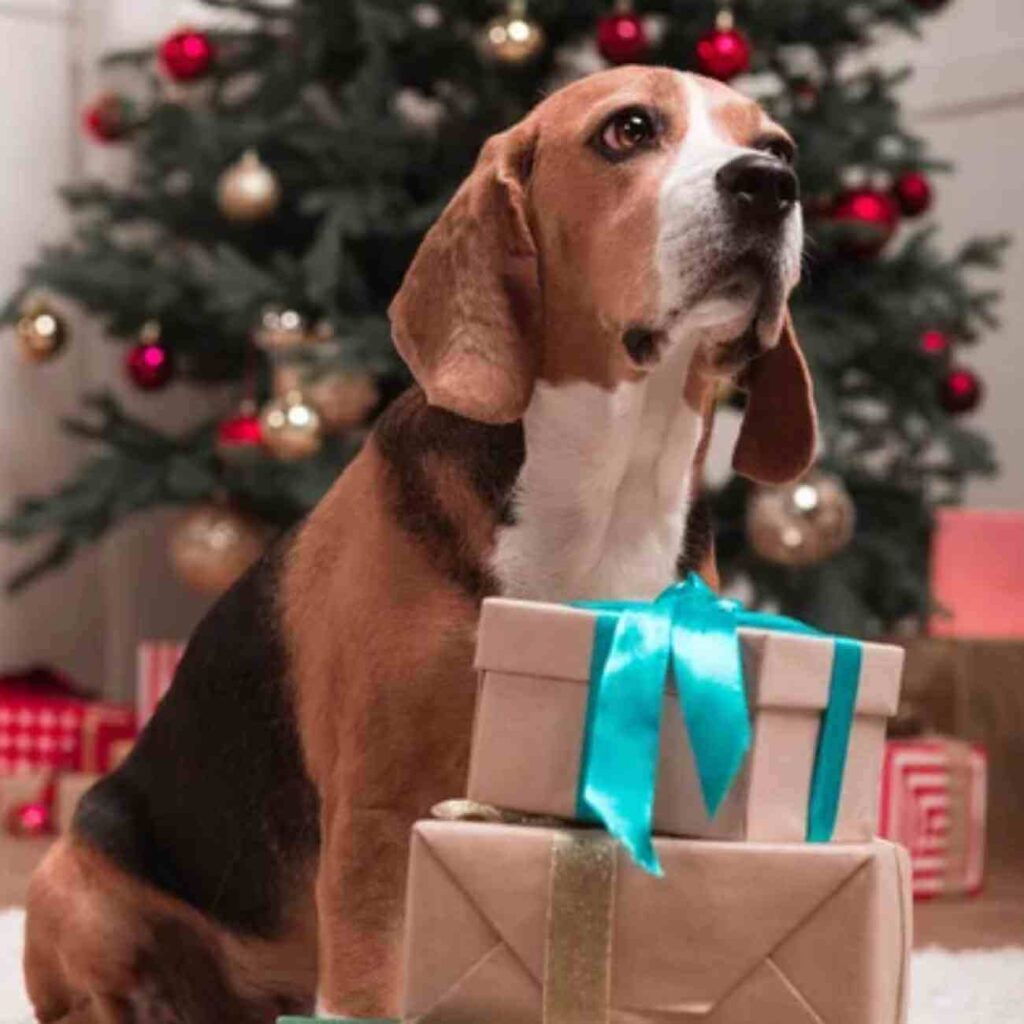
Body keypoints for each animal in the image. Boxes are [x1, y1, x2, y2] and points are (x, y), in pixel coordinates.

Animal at [24, 66, 815, 1024]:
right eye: (627, 130)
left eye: (778, 146)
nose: (768, 187)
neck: (610, 485)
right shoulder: (380, 818)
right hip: (74, 881)